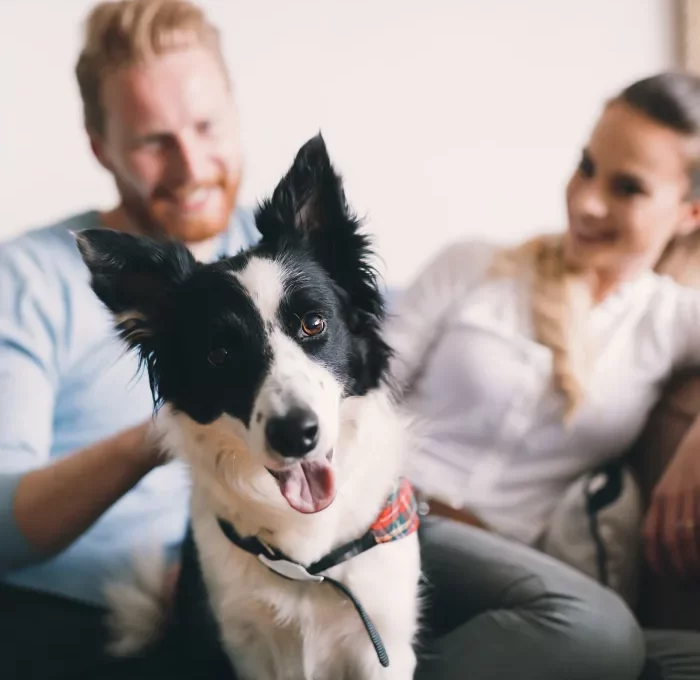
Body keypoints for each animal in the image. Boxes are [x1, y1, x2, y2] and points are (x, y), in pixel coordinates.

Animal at [79, 135, 424, 676]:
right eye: (218, 355)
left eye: (313, 323)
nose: (296, 434)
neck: (308, 563)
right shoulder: (243, 641)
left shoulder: (382, 643)